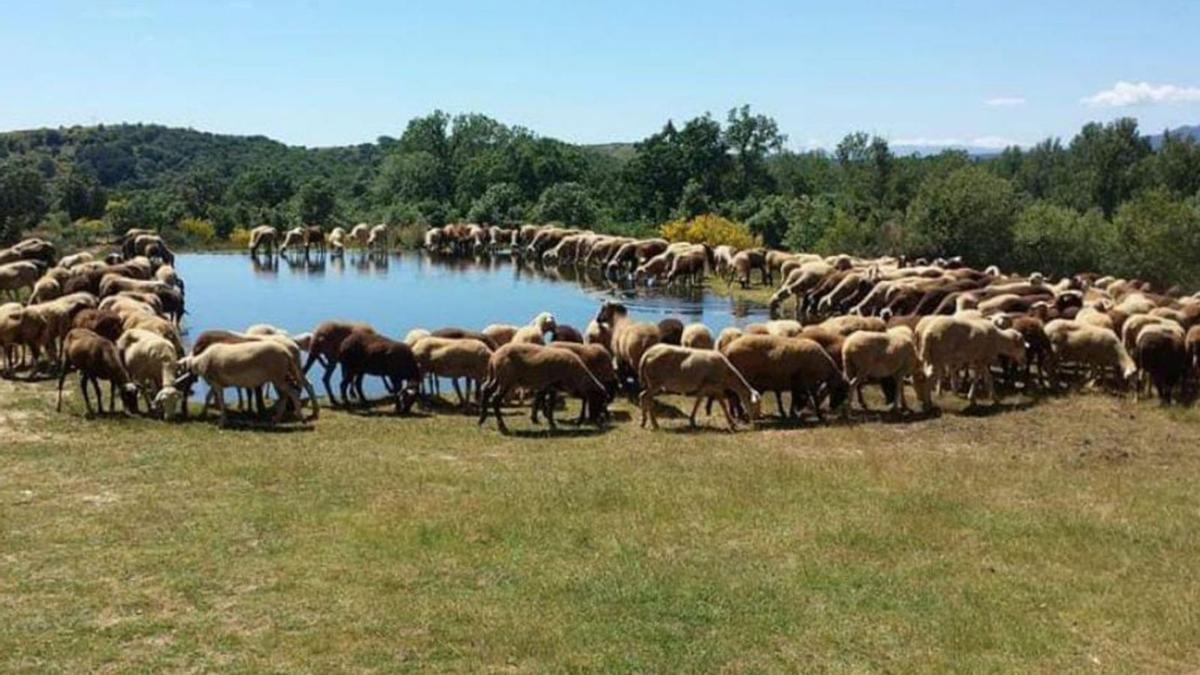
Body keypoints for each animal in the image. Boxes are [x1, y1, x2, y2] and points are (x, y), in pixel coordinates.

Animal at [477, 341, 609, 429]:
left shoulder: (550, 386)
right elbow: (552, 405)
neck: (576, 374)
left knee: (485, 390)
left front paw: (545, 421)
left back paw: (481, 419)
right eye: (599, 400)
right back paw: (502, 426)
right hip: (506, 379)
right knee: (495, 399)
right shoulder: (555, 385)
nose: (598, 419)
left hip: (496, 378)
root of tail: (493, 358)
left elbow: (545, 402)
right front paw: (554, 424)